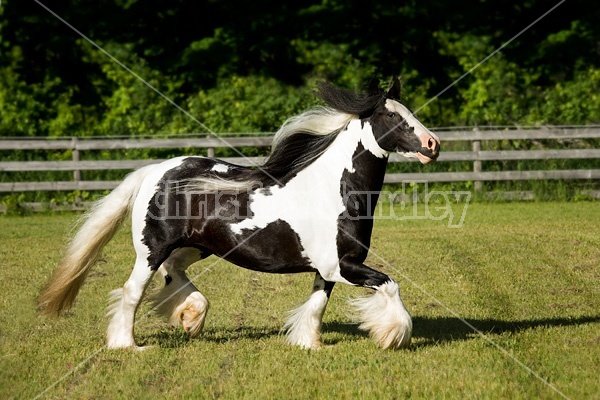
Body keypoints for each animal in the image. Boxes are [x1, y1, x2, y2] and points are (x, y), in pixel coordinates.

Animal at [38, 79, 440, 350]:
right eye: (391, 115)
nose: (432, 145)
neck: (333, 189)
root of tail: (154, 171)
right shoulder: (343, 266)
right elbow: (390, 285)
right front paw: (394, 336)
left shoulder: (328, 269)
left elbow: (316, 304)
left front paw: (308, 344)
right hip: (150, 250)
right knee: (131, 292)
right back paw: (129, 345)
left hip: (195, 246)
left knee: (174, 272)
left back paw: (192, 317)